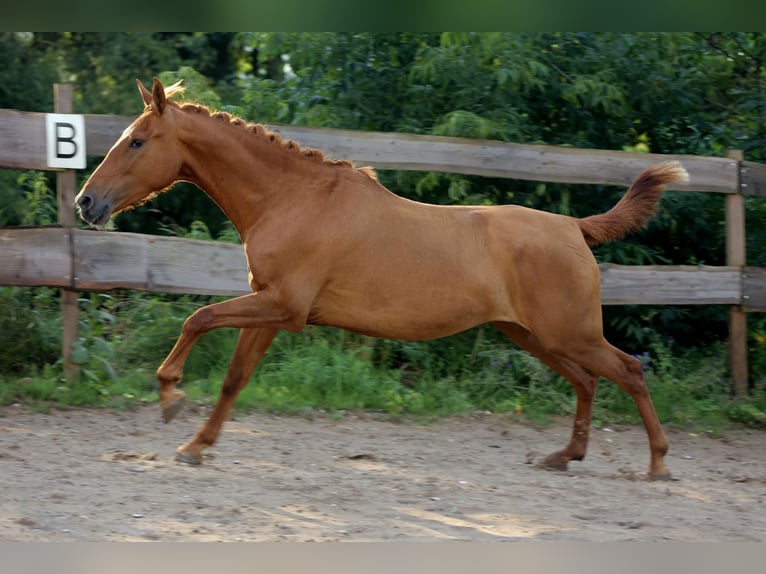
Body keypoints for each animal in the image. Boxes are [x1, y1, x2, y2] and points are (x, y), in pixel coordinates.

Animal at [78, 77, 688, 482]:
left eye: (137, 140)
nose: (87, 202)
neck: (293, 199)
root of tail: (574, 227)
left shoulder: (283, 307)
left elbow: (198, 317)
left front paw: (169, 397)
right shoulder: (270, 307)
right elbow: (233, 379)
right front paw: (195, 445)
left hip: (568, 332)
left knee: (628, 371)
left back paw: (658, 464)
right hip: (532, 334)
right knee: (587, 381)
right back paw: (564, 457)